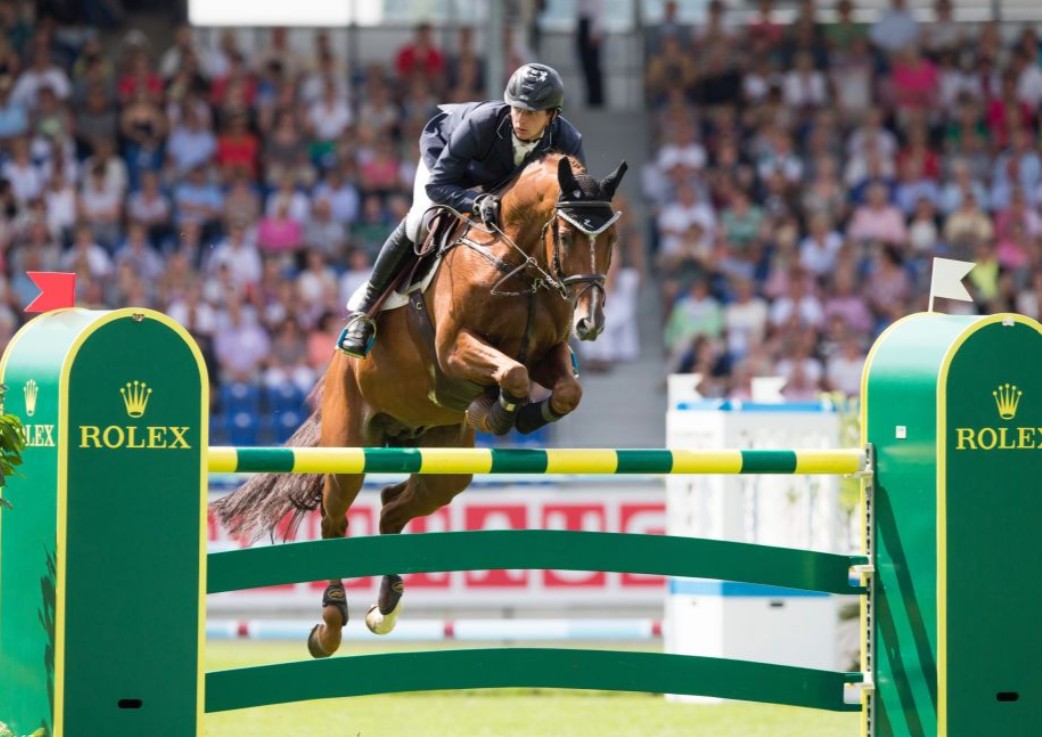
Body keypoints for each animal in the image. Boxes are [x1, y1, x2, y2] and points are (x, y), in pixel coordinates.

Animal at [213, 152, 628, 658]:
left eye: (611, 238)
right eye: (566, 236)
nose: (590, 323)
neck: (520, 267)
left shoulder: (547, 353)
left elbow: (564, 390)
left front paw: (515, 412)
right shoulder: (452, 349)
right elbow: (512, 373)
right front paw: (497, 409)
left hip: (446, 467)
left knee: (392, 507)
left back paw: (386, 605)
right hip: (348, 449)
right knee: (335, 518)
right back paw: (330, 625)